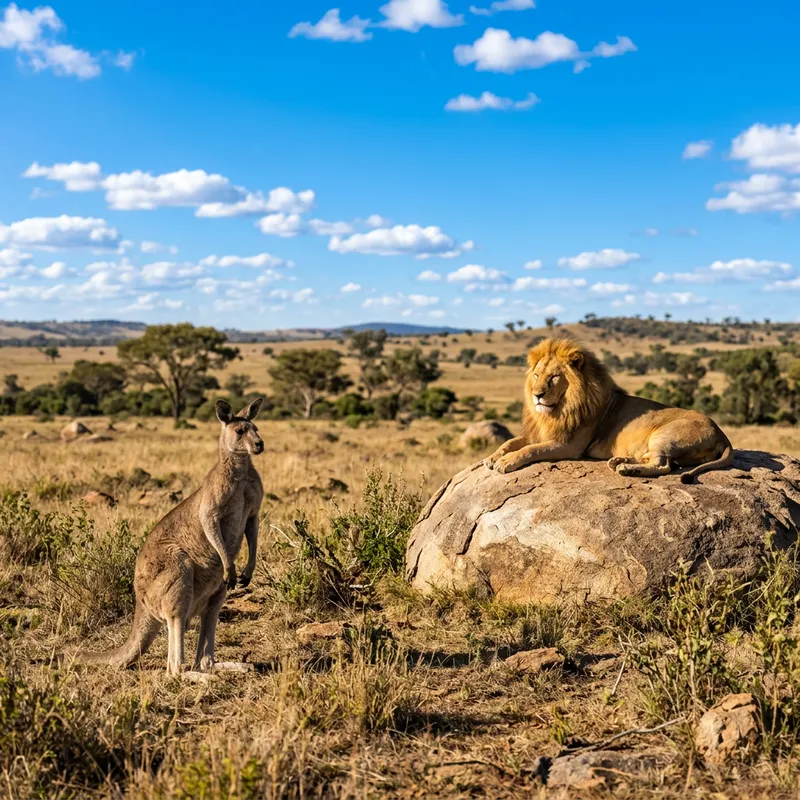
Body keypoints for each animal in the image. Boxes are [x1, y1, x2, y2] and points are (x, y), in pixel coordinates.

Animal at [484, 337, 733, 483]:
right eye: (536, 375)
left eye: (554, 377)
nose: (537, 395)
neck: (556, 412)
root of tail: (722, 434)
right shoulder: (539, 432)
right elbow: (512, 442)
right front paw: (491, 457)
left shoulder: (569, 445)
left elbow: (531, 450)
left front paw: (505, 462)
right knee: (663, 461)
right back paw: (619, 461)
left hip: (665, 434)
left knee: (663, 465)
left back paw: (626, 469)